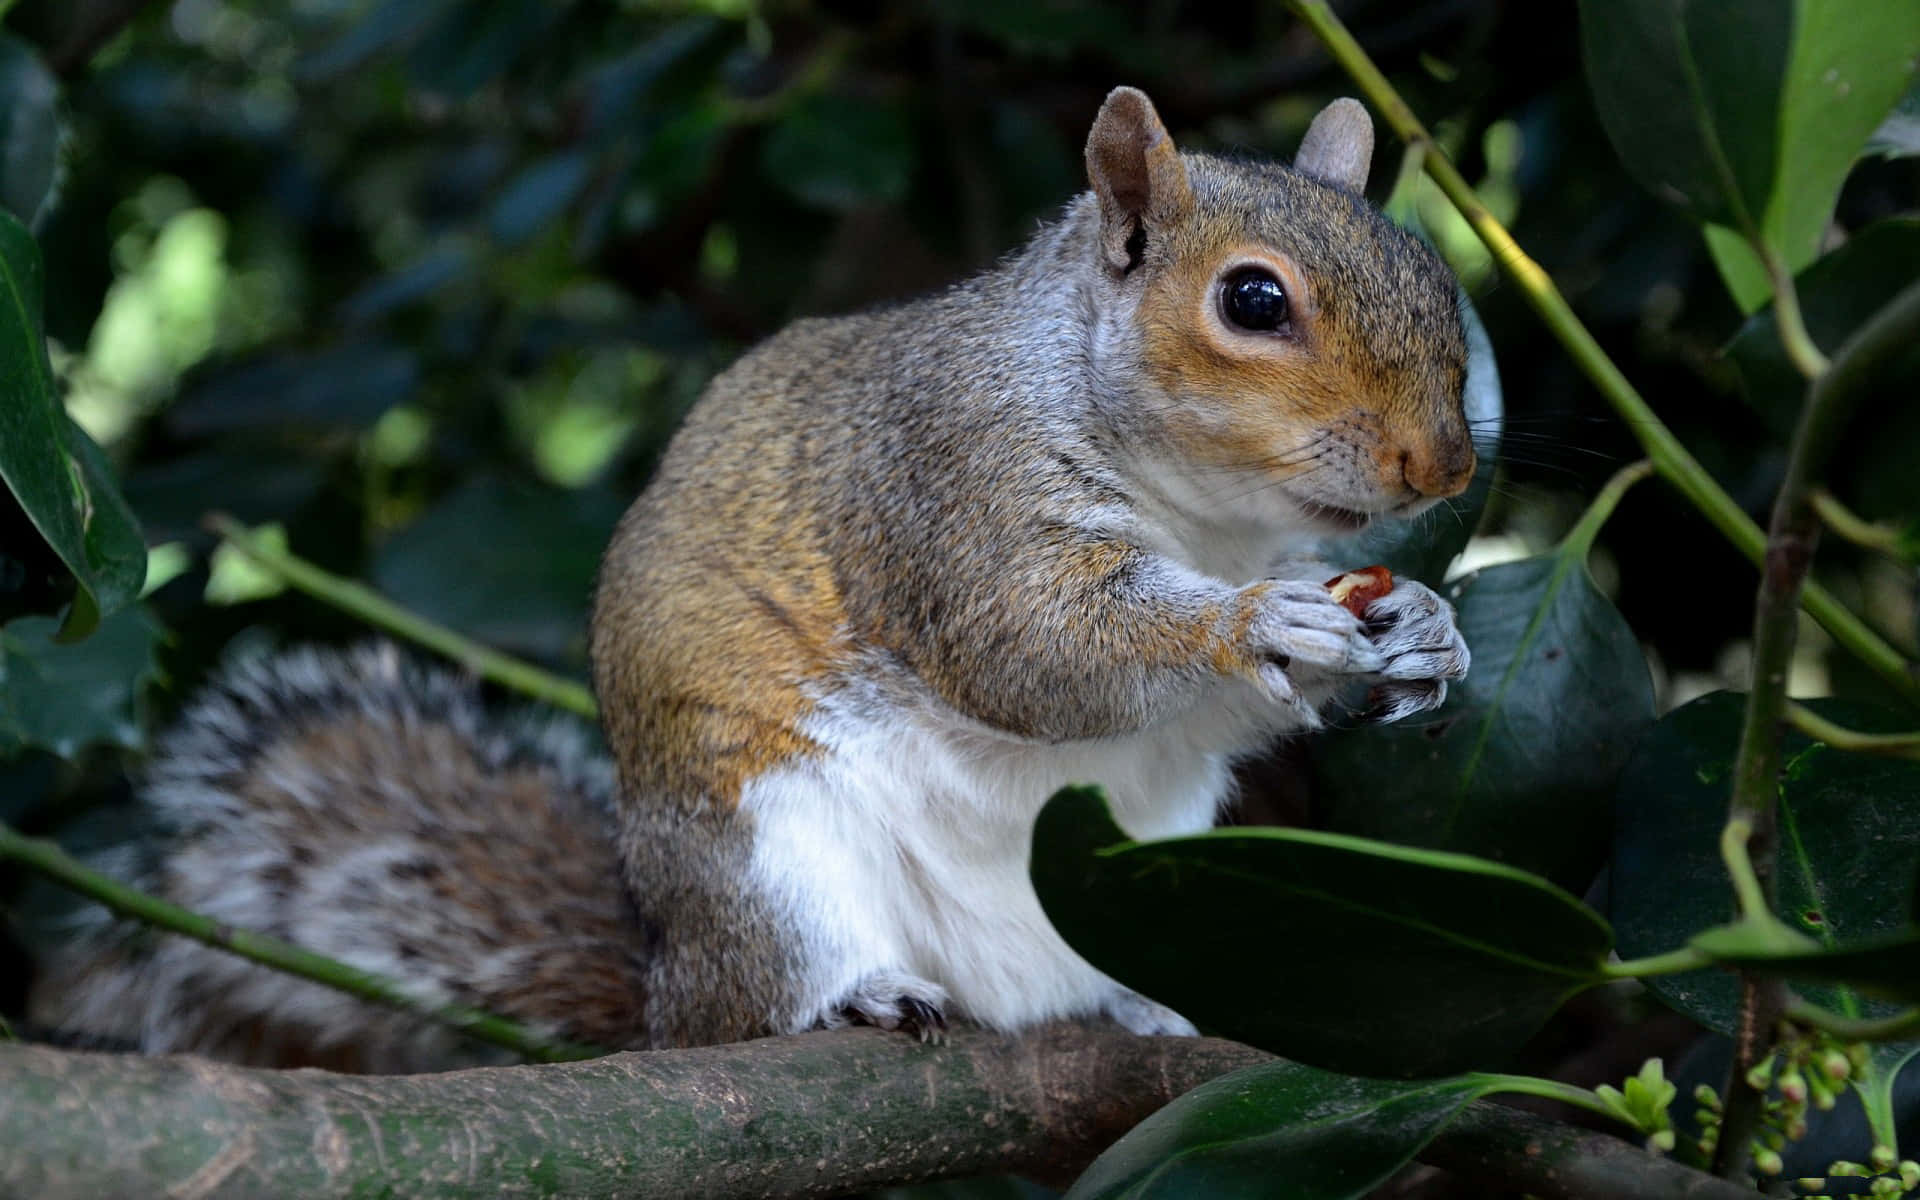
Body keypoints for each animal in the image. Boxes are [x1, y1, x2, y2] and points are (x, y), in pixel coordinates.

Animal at [26, 88, 1466, 1075]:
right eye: (1252, 301)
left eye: (1435, 274)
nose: (1444, 463)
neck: (1207, 520)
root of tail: (666, 1001)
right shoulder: (946, 487)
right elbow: (1035, 652)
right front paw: (1258, 625)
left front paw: (1426, 631)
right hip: (768, 849)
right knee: (762, 991)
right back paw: (851, 997)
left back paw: (1129, 998)